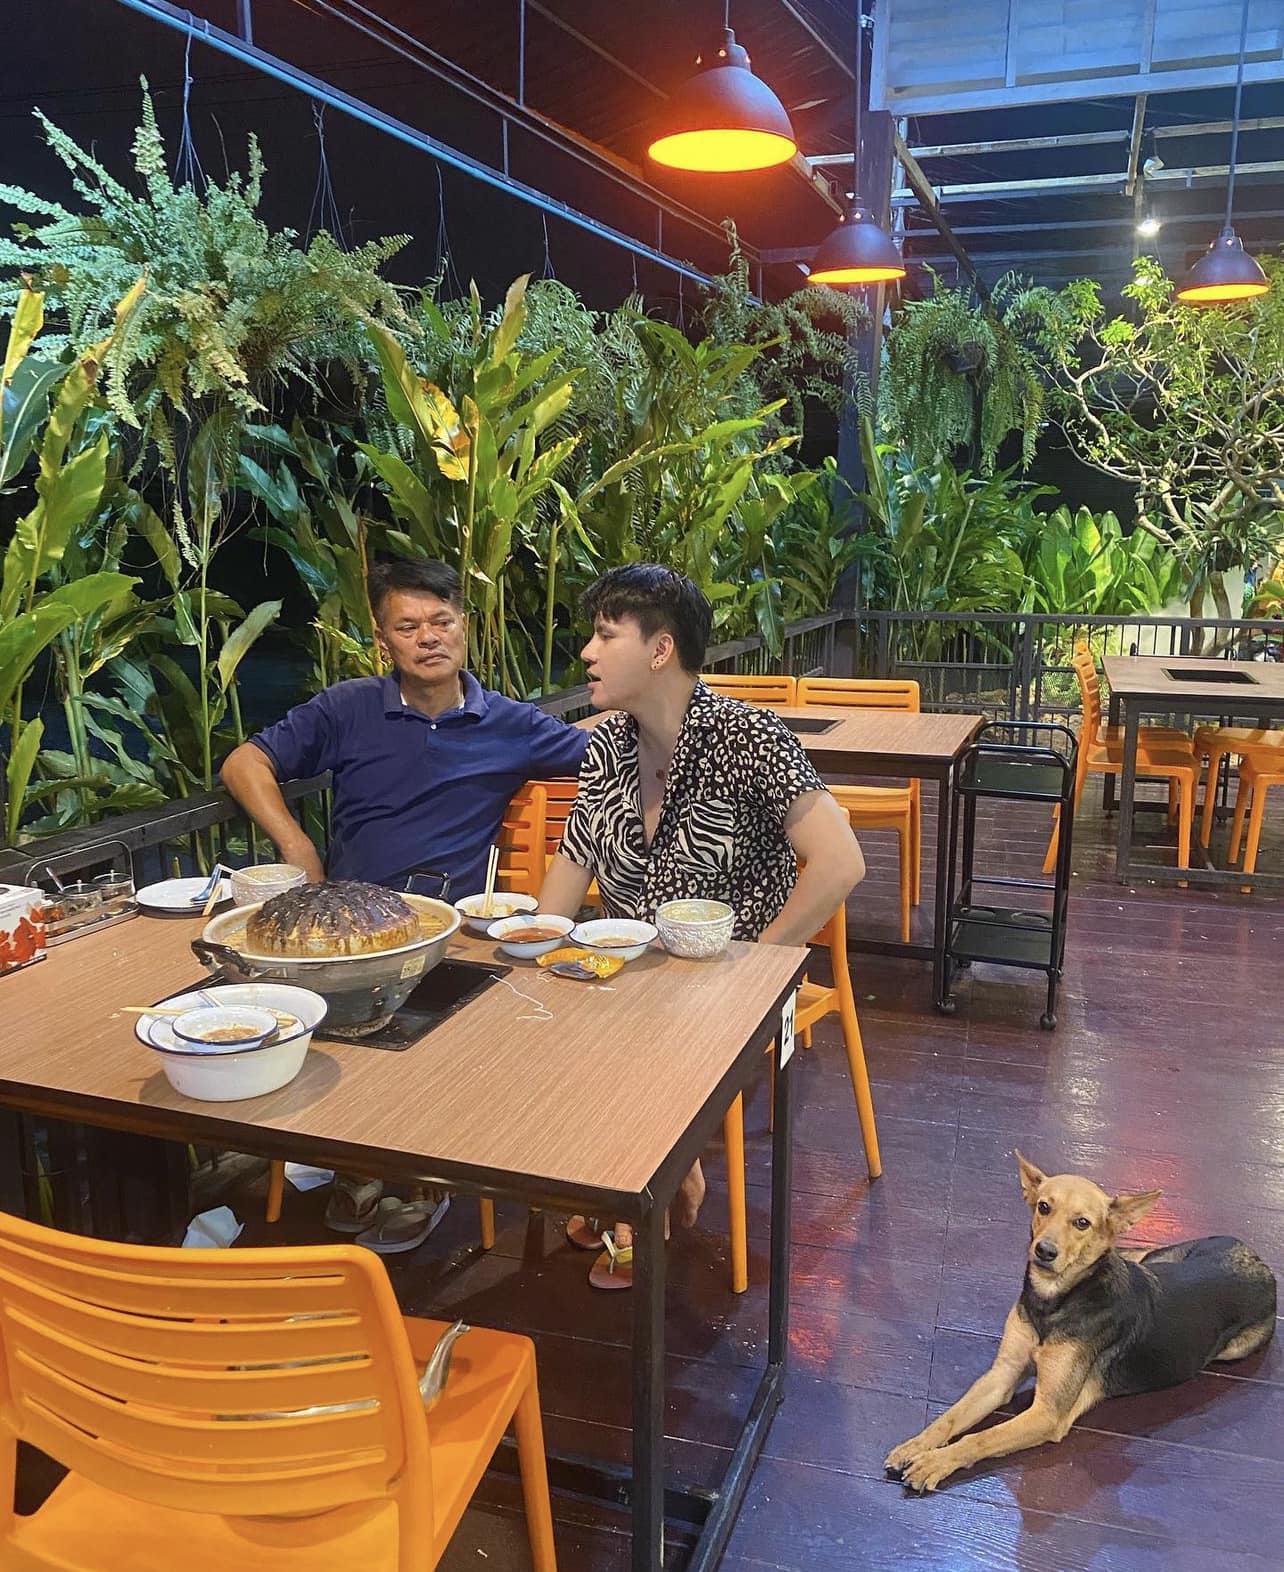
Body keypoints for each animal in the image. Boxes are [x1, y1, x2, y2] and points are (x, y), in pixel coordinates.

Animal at [884, 1151, 1277, 1494]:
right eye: (1043, 1206)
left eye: (1082, 1223)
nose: (1044, 1251)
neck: (1055, 1301)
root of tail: (1261, 1262)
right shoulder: (1002, 1375)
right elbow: (951, 1417)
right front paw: (915, 1446)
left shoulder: (1048, 1413)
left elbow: (981, 1437)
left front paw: (935, 1462)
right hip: (1158, 1256)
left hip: (1234, 1347)